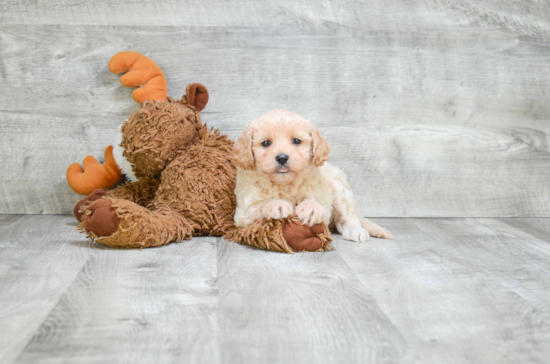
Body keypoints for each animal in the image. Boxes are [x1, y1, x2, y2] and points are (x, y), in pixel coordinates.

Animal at [233, 109, 392, 243]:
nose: (282, 158)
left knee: (347, 216)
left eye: (296, 141)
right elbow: (258, 206)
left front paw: (311, 208)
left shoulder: (325, 201)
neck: (286, 183)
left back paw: (356, 230)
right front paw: (277, 204)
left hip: (338, 187)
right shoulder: (243, 213)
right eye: (266, 143)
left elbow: (318, 204)